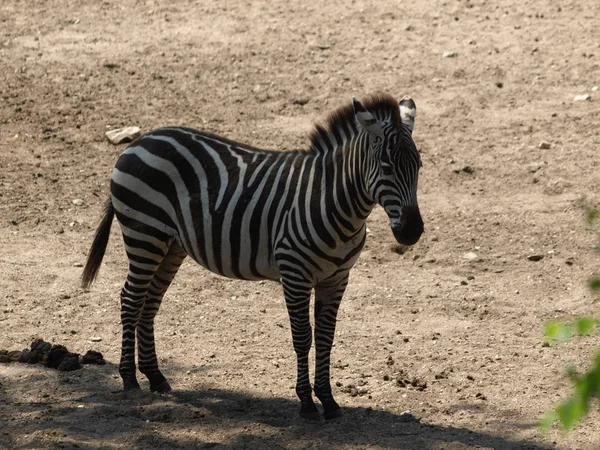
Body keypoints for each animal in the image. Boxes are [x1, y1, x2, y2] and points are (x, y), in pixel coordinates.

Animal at [82, 93, 424, 420]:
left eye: (419, 166)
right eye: (387, 168)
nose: (412, 232)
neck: (332, 200)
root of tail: (141, 141)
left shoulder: (337, 278)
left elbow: (326, 337)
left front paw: (328, 400)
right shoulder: (295, 274)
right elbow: (303, 337)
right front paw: (306, 402)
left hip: (170, 244)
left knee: (150, 302)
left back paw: (155, 376)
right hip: (144, 234)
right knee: (131, 299)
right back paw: (129, 379)